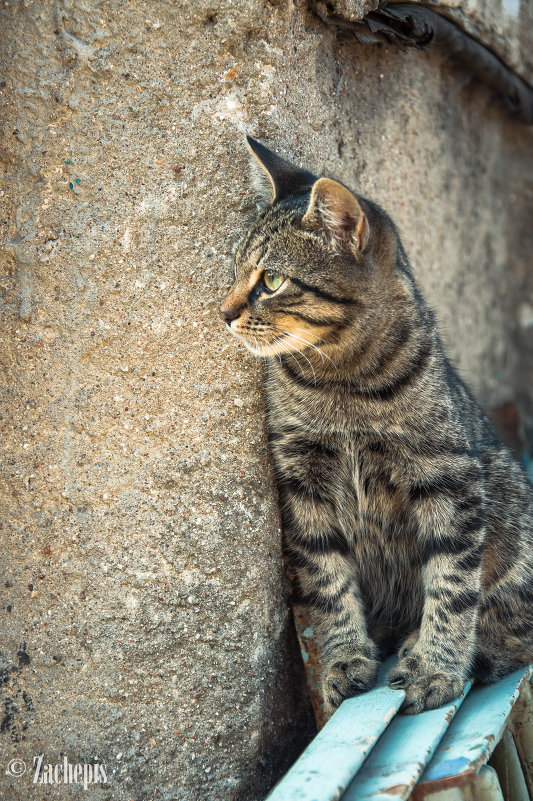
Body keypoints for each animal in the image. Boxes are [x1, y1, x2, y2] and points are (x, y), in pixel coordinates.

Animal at [217, 136, 532, 712]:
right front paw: (344, 658)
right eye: (233, 272)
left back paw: (441, 649)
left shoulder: (448, 477)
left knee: (513, 626)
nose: (223, 313)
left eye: (271, 280)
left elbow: (452, 585)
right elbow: (327, 579)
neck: (343, 383)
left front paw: (437, 665)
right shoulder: (302, 481)